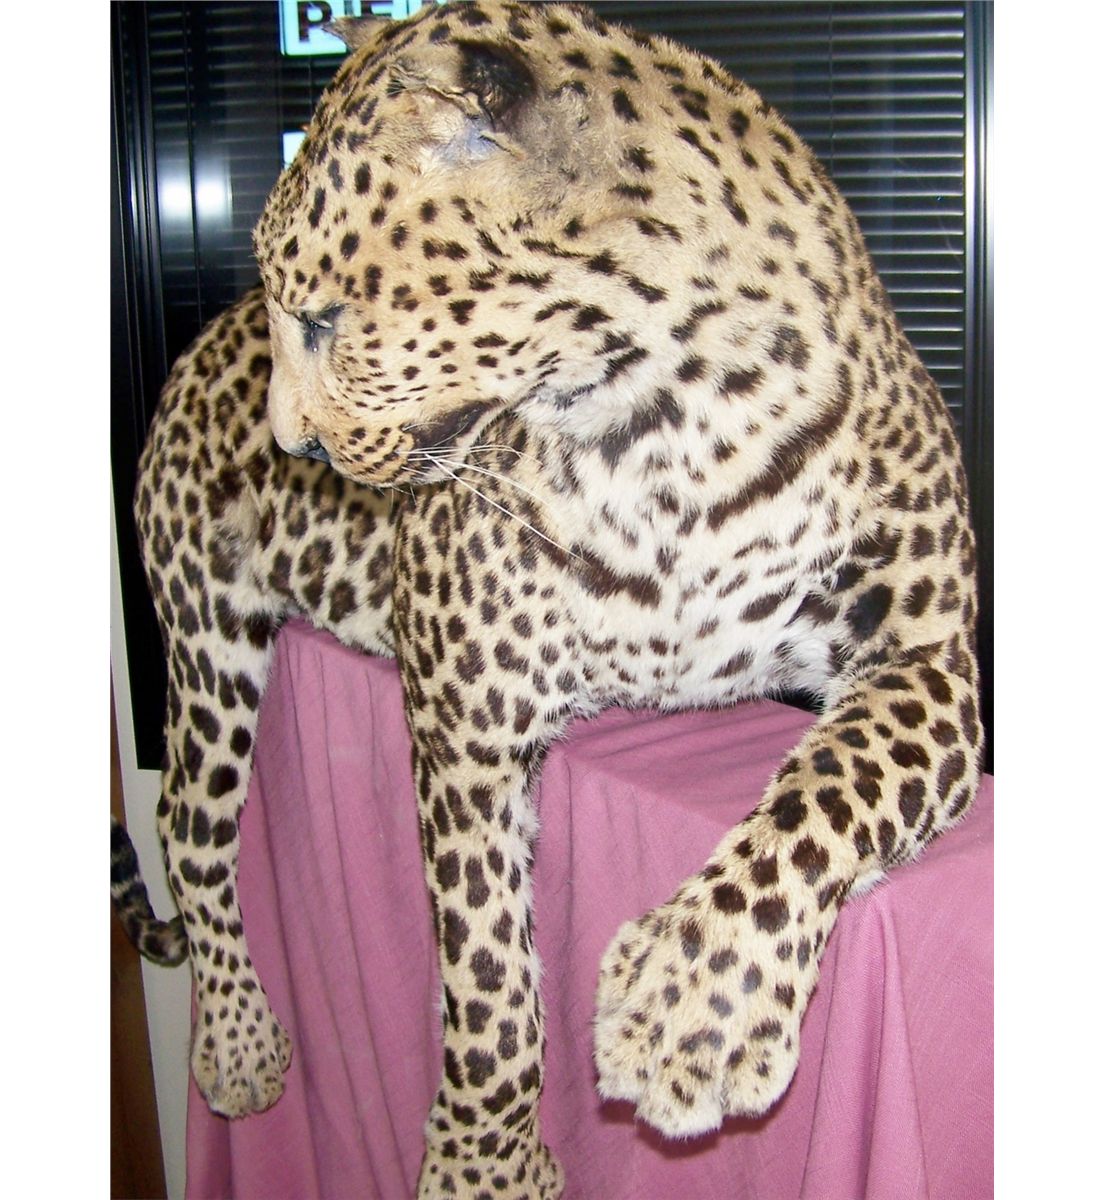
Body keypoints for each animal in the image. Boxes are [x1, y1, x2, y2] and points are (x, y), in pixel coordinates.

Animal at [111, 2, 983, 1197]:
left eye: (326, 317)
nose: (287, 441)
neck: (673, 423)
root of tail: (205, 337)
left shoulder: (927, 658)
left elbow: (832, 786)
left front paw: (692, 1008)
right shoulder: (467, 713)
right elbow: (486, 986)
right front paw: (484, 1161)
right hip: (205, 635)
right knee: (187, 830)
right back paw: (238, 1044)